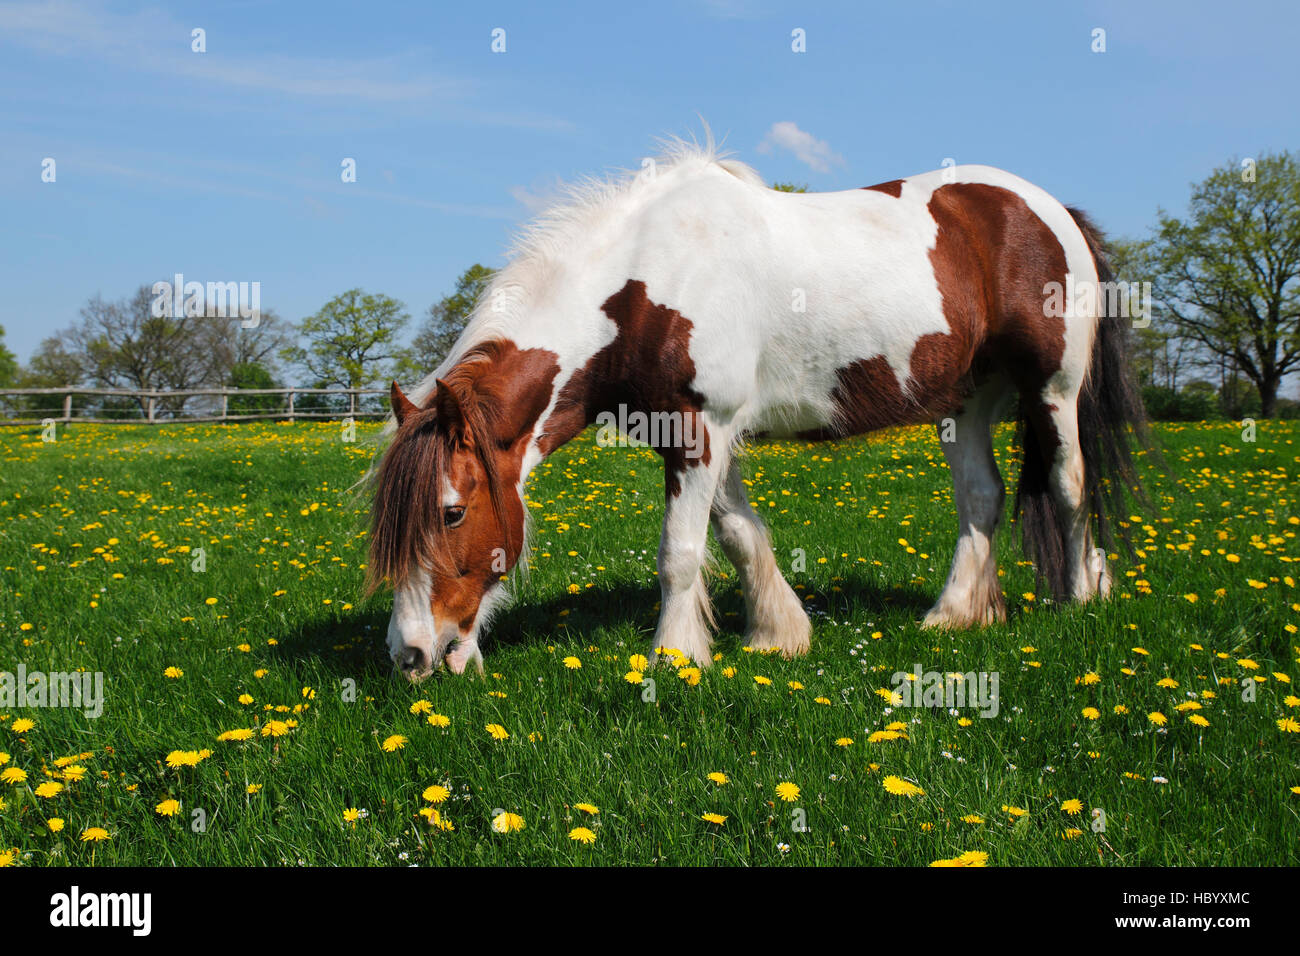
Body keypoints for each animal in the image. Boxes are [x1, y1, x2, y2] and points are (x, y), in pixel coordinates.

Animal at [368, 139, 1146, 680]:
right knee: (981, 497)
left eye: (451, 512)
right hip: (967, 400)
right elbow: (741, 535)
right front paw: (779, 634)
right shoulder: (693, 435)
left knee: (1071, 486)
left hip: (1053, 391)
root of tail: (1052, 210)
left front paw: (675, 658)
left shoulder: (698, 427)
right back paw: (955, 615)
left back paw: (1080, 598)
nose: (410, 654)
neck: (644, 284)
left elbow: (680, 554)